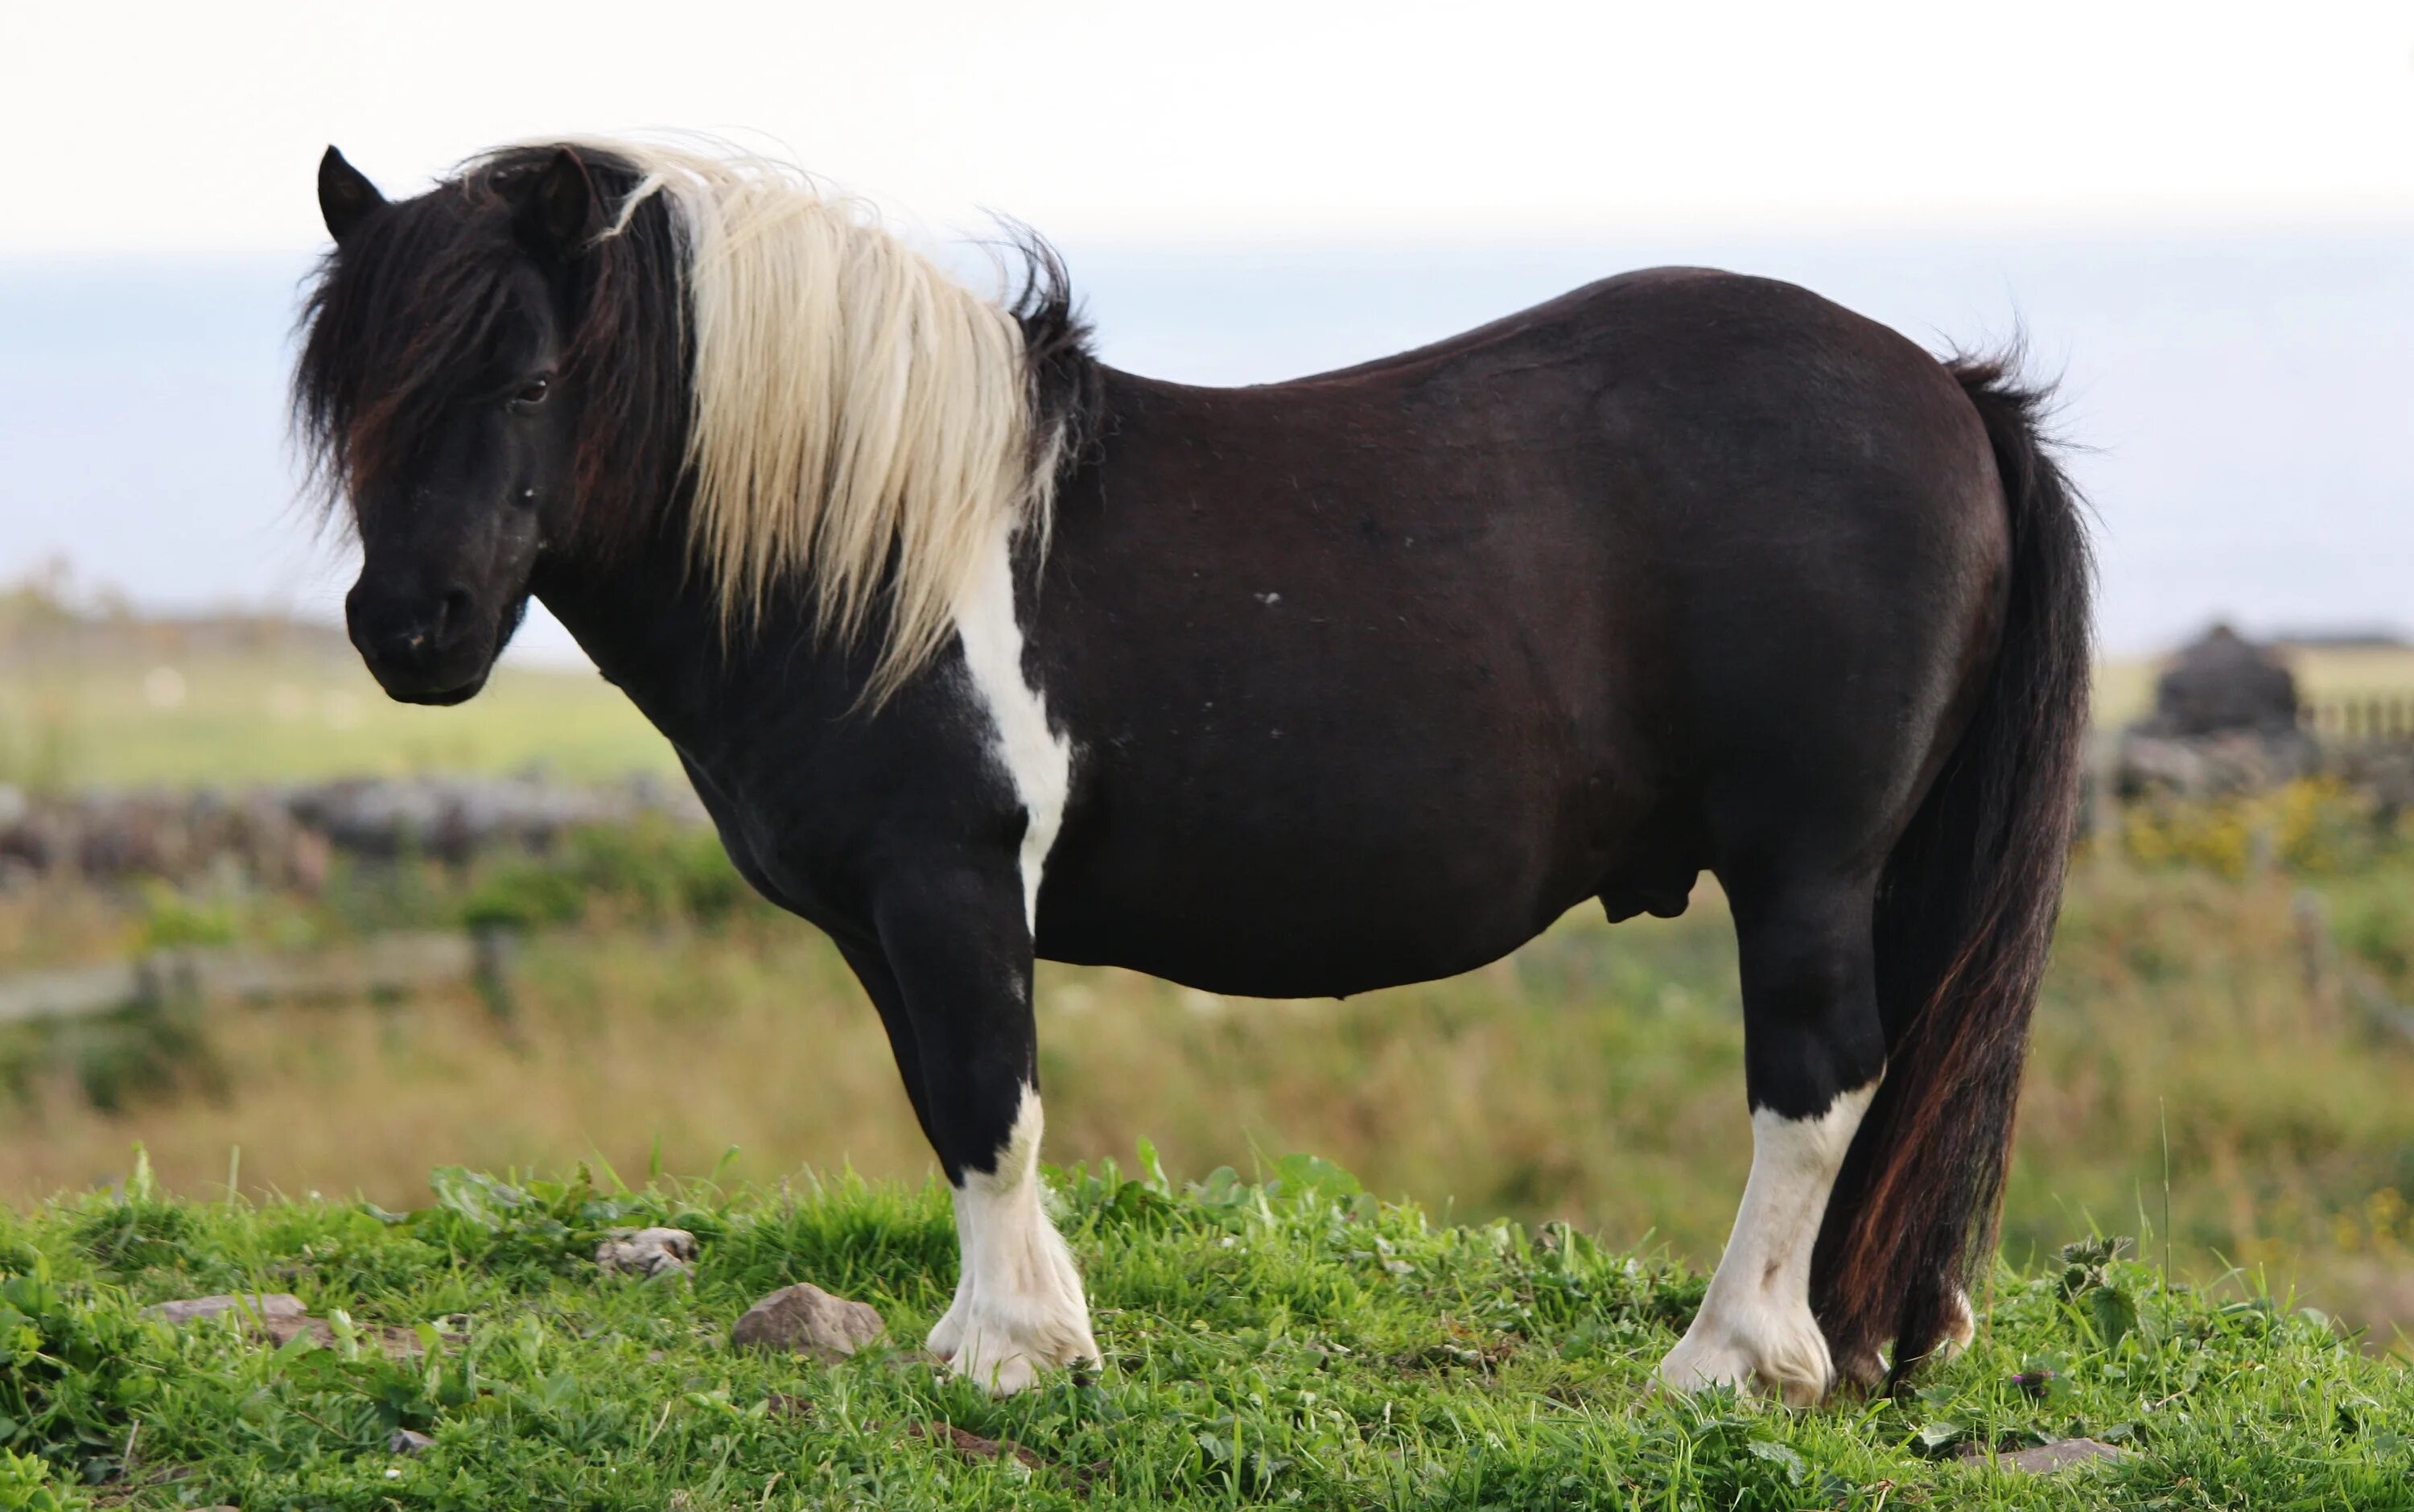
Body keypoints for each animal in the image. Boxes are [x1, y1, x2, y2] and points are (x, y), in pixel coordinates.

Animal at [292, 141, 2086, 1400]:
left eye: (531, 378)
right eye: (348, 400)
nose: (411, 630)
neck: (873, 549)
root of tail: (1946, 391)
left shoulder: (949, 880)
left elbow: (989, 1100)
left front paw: (1012, 1352)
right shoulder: (886, 913)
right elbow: (950, 1101)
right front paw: (1010, 1330)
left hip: (1806, 866)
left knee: (1817, 1076)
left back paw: (1732, 1358)